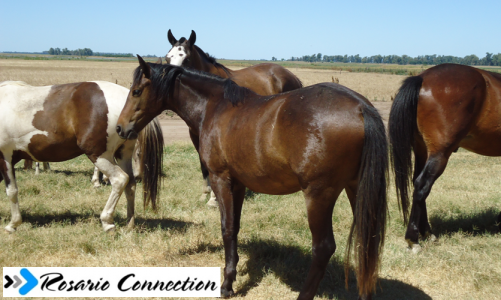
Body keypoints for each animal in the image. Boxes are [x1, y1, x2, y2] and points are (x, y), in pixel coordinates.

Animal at [0, 79, 163, 232]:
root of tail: (125, 94)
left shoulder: (5, 157)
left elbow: (11, 190)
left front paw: (13, 224)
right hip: (123, 154)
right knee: (131, 184)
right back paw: (130, 224)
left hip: (99, 155)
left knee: (120, 179)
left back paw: (107, 222)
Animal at [115, 56, 388, 300]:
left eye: (136, 91)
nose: (119, 127)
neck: (216, 106)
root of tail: (360, 107)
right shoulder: (239, 185)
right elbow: (235, 227)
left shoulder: (221, 180)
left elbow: (226, 228)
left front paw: (226, 284)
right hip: (356, 189)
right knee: (367, 244)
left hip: (319, 194)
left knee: (323, 247)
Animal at [166, 28, 302, 206]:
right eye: (168, 57)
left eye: (186, 58)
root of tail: (293, 76)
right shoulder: (195, 134)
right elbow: (203, 164)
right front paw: (205, 194)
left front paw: (213, 199)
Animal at [388, 63, 500, 253]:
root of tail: (422, 77)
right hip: (440, 154)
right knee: (422, 185)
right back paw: (413, 239)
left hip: (422, 150)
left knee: (417, 183)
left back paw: (427, 233)